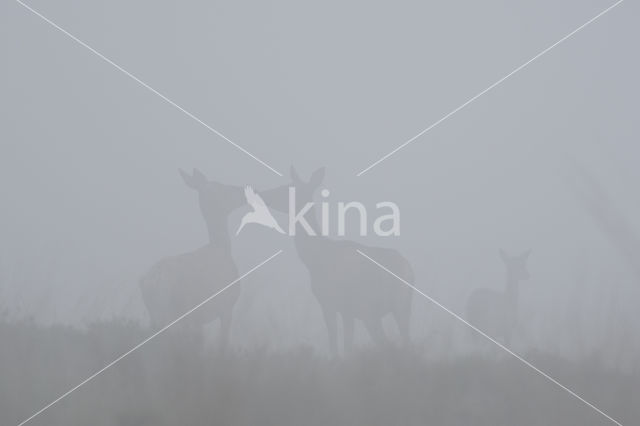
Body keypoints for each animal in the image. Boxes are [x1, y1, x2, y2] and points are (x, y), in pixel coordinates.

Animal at [139, 168, 246, 352]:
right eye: (223, 188)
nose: (243, 191)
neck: (221, 247)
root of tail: (154, 281)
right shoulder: (226, 307)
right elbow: (222, 342)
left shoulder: (200, 319)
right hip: (176, 311)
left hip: (155, 314)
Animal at [260, 167, 416, 356]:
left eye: (288, 188)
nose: (262, 194)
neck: (314, 259)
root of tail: (408, 270)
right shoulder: (344, 308)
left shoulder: (333, 303)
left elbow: (338, 344)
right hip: (396, 308)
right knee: (396, 341)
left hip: (381, 306)